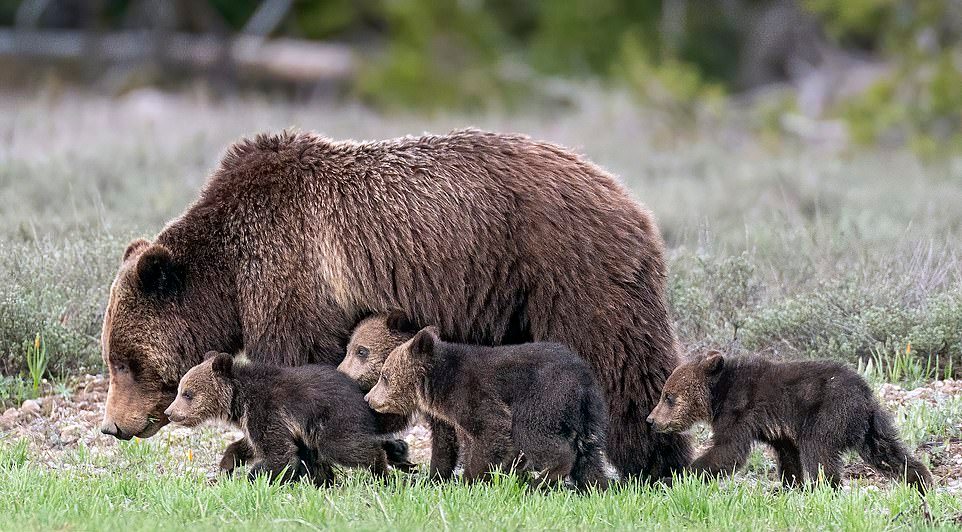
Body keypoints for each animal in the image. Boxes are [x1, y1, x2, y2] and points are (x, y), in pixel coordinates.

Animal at [99, 128, 688, 478]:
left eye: (125, 363)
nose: (112, 426)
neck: (228, 272)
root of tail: (626, 196)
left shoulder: (292, 274)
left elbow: (298, 367)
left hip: (569, 273)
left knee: (624, 364)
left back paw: (655, 464)